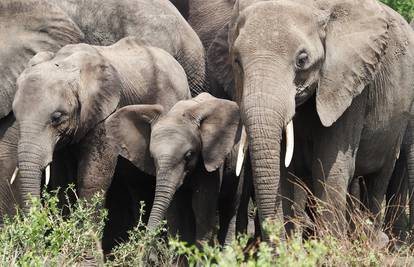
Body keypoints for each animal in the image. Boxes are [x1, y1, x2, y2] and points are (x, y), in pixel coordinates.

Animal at [106, 93, 243, 245]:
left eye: (188, 155)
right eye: (152, 157)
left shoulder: (210, 157)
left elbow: (202, 208)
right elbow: (176, 213)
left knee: (230, 205)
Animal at [209, 0, 414, 239]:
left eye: (302, 60)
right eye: (236, 61)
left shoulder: (349, 84)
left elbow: (330, 168)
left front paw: (329, 245)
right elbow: (283, 171)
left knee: (378, 179)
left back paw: (372, 238)